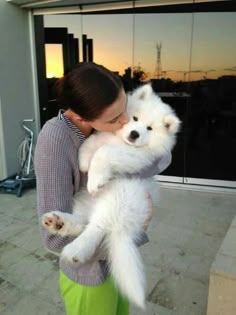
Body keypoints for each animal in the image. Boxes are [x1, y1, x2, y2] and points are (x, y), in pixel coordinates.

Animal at [42, 84, 181, 308]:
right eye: (134, 118)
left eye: (149, 129)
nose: (134, 134)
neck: (121, 141)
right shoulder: (102, 137)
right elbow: (91, 144)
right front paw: (83, 163)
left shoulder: (136, 156)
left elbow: (105, 152)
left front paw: (95, 179)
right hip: (84, 202)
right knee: (82, 222)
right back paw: (58, 222)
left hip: (118, 201)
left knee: (96, 229)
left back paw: (75, 250)